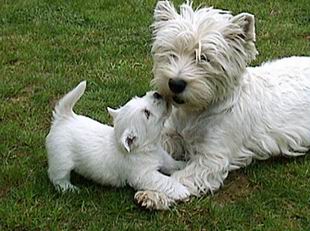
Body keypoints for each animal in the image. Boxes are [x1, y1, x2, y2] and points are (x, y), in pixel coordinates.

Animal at [45, 81, 189, 209]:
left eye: (139, 98)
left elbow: (171, 163)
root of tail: (64, 118)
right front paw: (182, 190)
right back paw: (69, 188)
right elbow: (164, 181)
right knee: (57, 177)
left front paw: (184, 165)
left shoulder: (162, 157)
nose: (157, 94)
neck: (145, 147)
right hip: (61, 160)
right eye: (147, 113)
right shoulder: (144, 175)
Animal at [136, 0, 310, 209]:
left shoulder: (212, 157)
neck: (197, 111)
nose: (175, 84)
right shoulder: (174, 134)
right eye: (170, 53)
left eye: (204, 58)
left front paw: (154, 194)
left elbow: (183, 178)